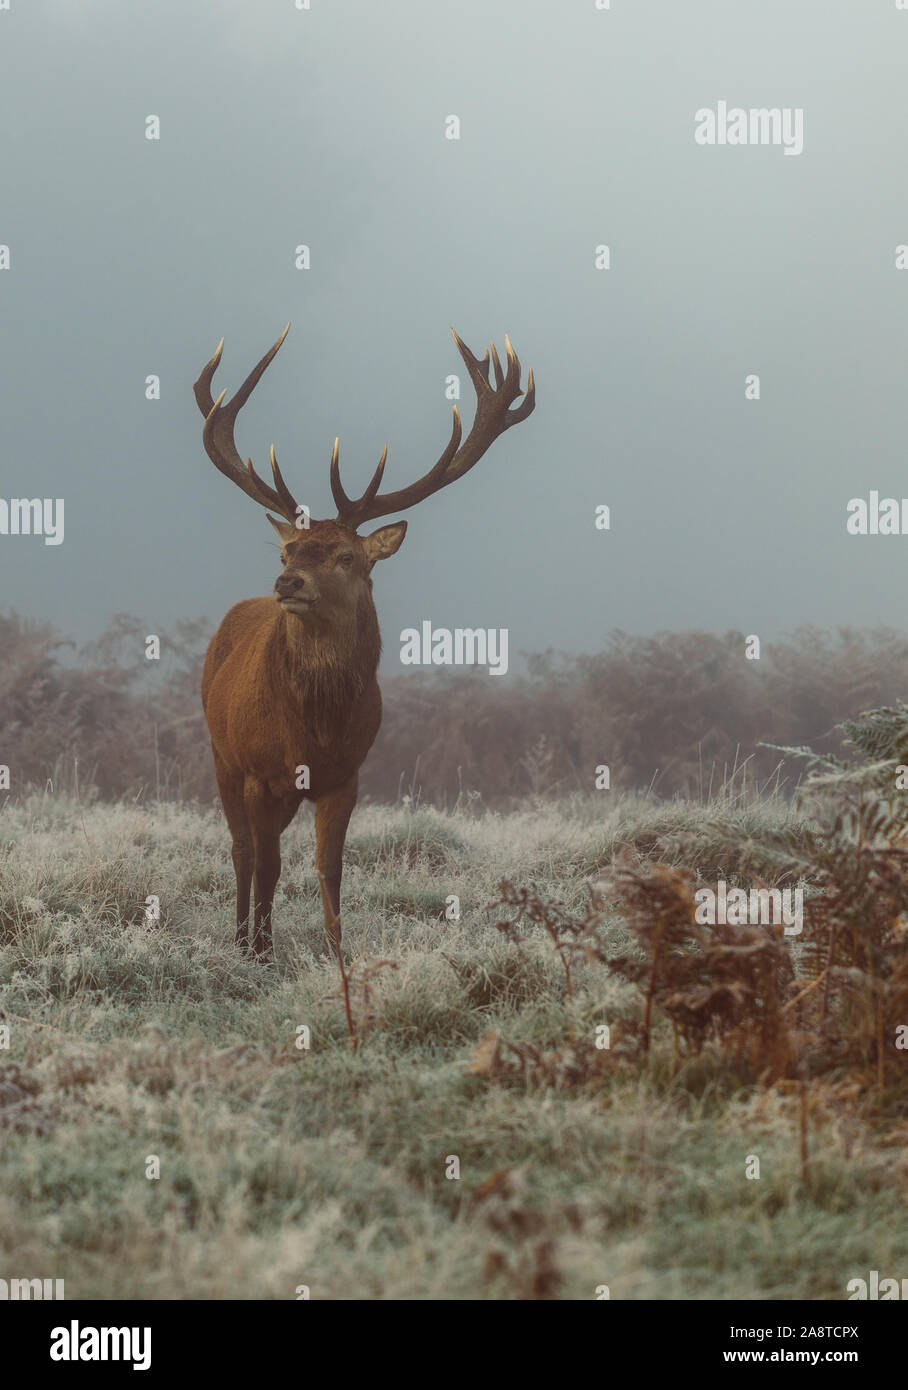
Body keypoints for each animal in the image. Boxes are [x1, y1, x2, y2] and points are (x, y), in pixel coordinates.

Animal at [194, 324, 535, 962]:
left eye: (346, 556)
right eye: (287, 551)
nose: (287, 583)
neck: (312, 729)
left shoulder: (347, 775)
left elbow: (330, 868)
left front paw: (336, 954)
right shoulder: (256, 770)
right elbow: (267, 864)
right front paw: (260, 952)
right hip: (222, 755)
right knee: (243, 851)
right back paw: (241, 938)